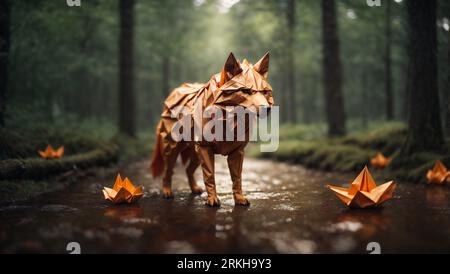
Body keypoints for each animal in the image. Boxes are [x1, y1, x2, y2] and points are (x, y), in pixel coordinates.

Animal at [150, 52, 274, 207]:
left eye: (265, 91)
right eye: (246, 90)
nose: (267, 109)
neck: (228, 119)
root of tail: (175, 91)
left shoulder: (237, 152)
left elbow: (237, 178)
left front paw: (239, 198)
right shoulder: (205, 148)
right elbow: (210, 176)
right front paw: (212, 199)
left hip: (195, 152)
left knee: (188, 170)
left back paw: (195, 189)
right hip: (172, 148)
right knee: (168, 170)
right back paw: (167, 191)